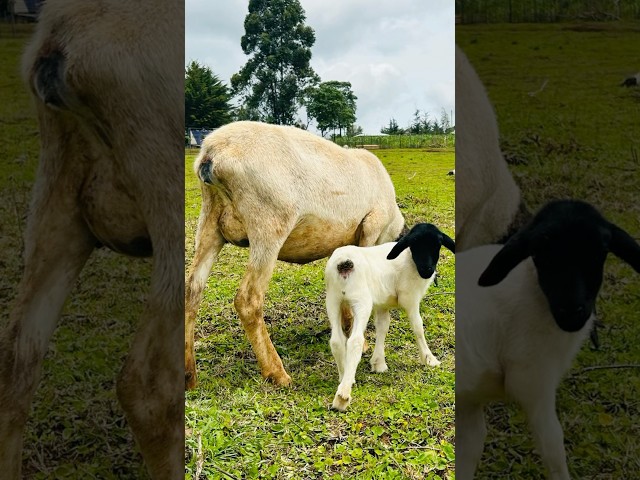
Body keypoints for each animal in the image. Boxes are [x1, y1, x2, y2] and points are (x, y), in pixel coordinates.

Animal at [185, 121, 406, 389]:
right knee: (248, 299)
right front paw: (361, 342)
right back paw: (276, 373)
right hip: (268, 223)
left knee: (192, 290)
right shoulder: (371, 226)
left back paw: (189, 377)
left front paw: (346, 326)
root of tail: (213, 153)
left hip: (210, 221)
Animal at [325, 223, 455, 411]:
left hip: (333, 299)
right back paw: (343, 396)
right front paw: (429, 359)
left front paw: (378, 363)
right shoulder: (410, 297)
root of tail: (344, 261)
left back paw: (344, 377)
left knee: (336, 340)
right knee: (355, 340)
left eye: (437, 244)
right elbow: (418, 327)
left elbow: (383, 326)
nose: (427, 270)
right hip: (361, 300)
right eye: (414, 244)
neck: (410, 260)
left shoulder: (382, 303)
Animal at [456, 199, 640, 480]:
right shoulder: (533, 378)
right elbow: (553, 446)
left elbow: (470, 447)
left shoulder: (470, 400)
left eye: (600, 252)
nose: (572, 312)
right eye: (540, 252)